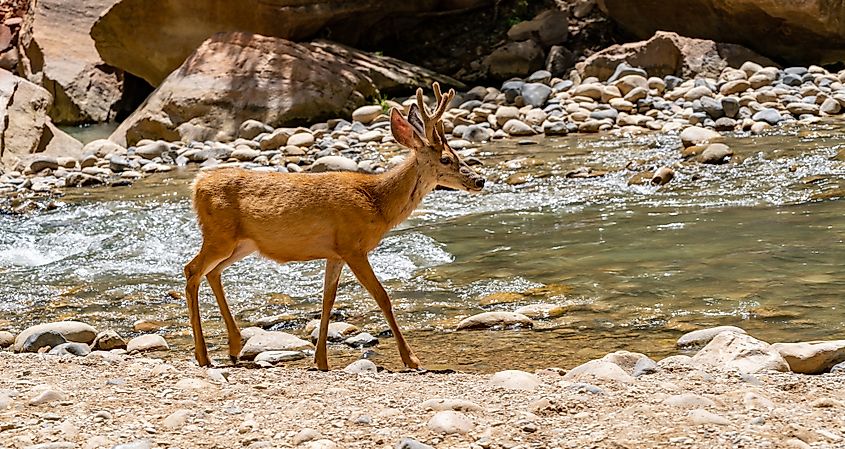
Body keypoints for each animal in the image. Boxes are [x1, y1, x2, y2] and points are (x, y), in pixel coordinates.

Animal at [185, 82, 488, 370]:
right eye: (446, 159)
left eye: (457, 154)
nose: (479, 180)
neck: (377, 203)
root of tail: (196, 185)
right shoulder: (353, 246)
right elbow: (382, 297)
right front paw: (411, 359)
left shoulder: (335, 253)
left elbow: (327, 301)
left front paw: (321, 361)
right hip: (219, 235)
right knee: (192, 270)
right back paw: (203, 356)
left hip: (242, 244)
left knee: (212, 273)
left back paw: (234, 347)